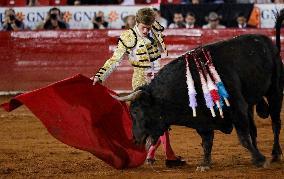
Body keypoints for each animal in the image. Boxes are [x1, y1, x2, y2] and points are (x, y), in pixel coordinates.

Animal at [114, 13, 282, 169]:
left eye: (136, 112)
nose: (135, 139)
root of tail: (265, 40)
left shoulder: (237, 108)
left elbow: (243, 138)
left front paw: (260, 160)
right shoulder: (203, 120)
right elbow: (207, 141)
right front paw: (205, 163)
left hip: (275, 90)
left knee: (275, 123)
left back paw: (275, 154)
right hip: (251, 103)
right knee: (254, 129)